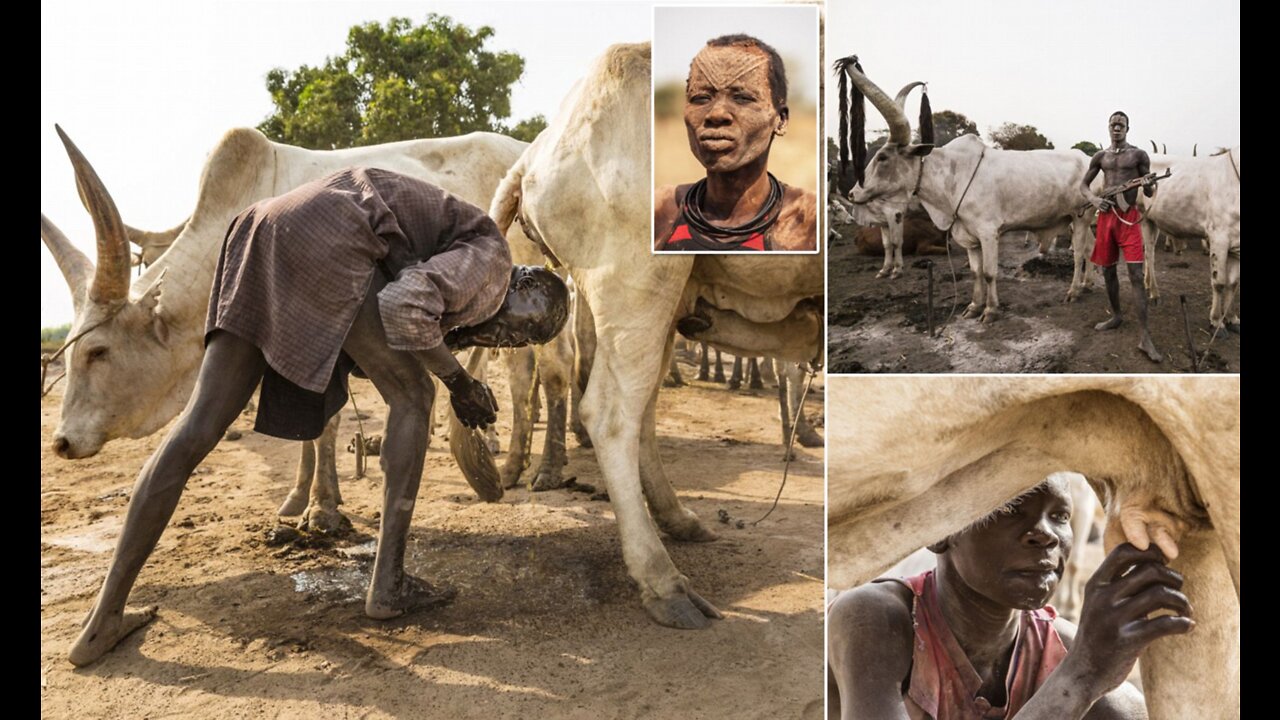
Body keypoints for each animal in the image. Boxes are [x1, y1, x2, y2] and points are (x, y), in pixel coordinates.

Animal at [483, 43, 824, 627]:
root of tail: (540, 152)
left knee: (640, 411)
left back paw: (679, 522)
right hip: (641, 283)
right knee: (611, 414)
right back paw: (664, 583)